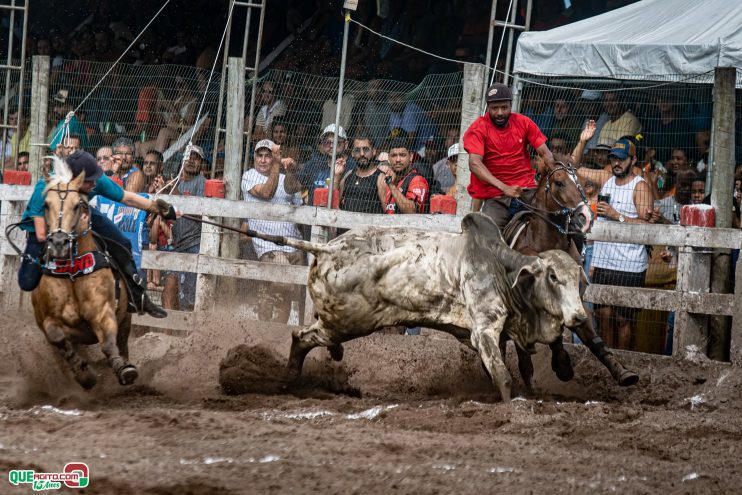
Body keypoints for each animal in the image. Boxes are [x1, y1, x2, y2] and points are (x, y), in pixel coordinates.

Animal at [30, 157, 138, 390]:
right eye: (46, 204)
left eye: (77, 205)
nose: (59, 243)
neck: (72, 273)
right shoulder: (50, 322)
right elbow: (58, 338)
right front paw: (84, 375)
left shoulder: (104, 312)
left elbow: (108, 344)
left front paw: (123, 369)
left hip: (126, 317)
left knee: (122, 342)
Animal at [243, 211, 588, 402]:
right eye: (553, 276)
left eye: (579, 279)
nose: (580, 316)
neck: (499, 265)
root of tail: (327, 247)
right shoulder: (485, 329)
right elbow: (503, 376)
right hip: (347, 321)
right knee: (301, 336)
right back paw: (289, 378)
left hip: (339, 321)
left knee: (306, 337)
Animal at [500, 163, 640, 392]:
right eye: (559, 182)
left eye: (583, 182)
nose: (585, 216)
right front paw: (562, 366)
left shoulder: (576, 303)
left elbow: (593, 340)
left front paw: (622, 372)